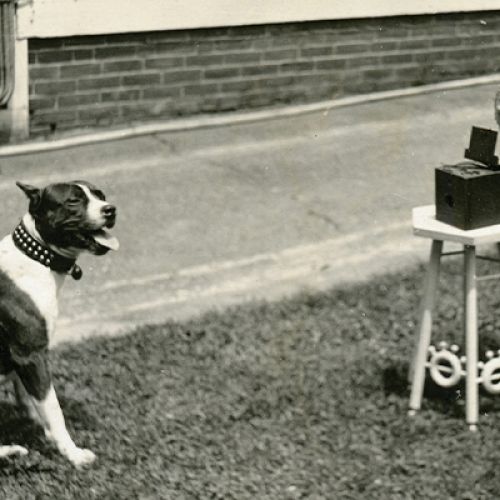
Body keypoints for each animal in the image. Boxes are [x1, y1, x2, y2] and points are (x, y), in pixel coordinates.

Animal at [0, 180, 118, 467]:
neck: (35, 256)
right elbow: (53, 408)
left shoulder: (24, 360)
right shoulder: (31, 355)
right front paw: (73, 453)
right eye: (73, 201)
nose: (111, 210)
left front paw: (43, 431)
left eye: (100, 195)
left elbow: (32, 400)